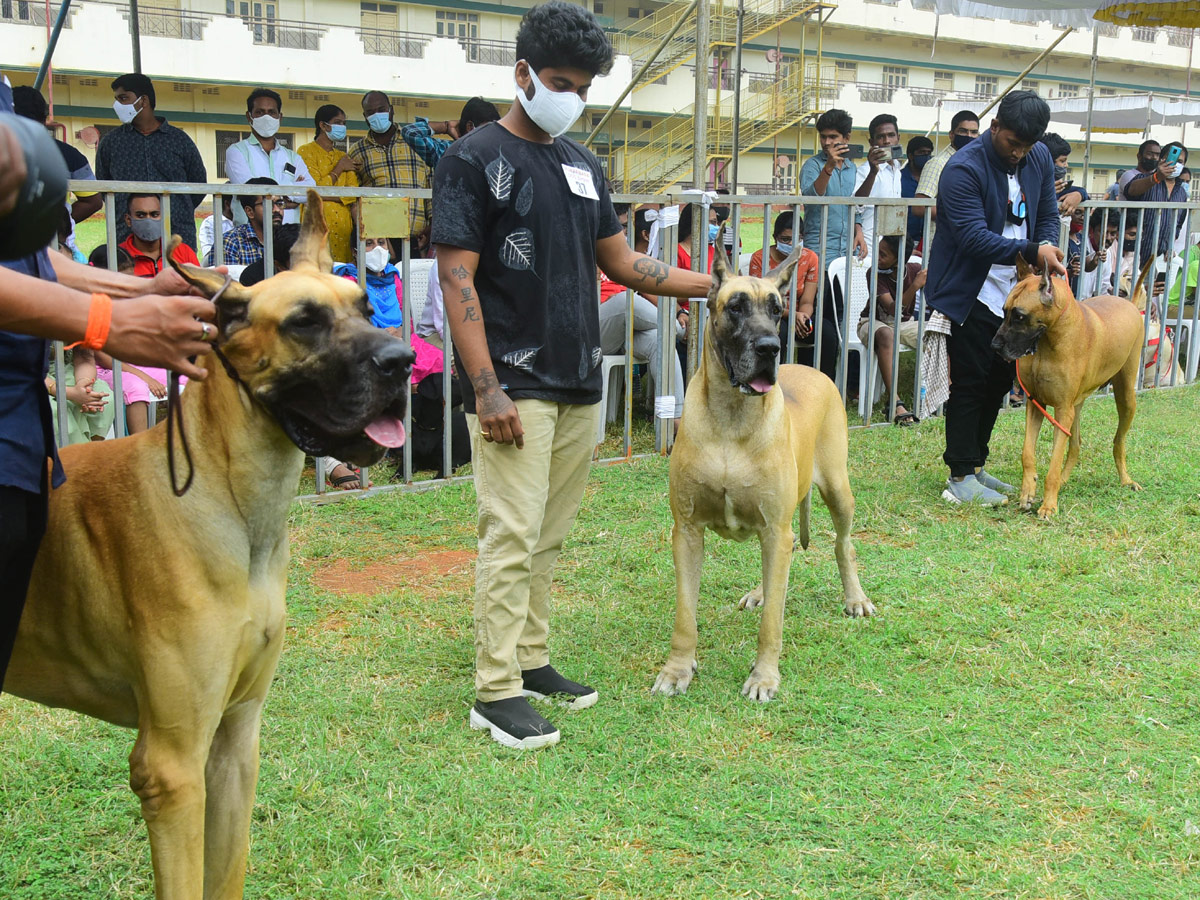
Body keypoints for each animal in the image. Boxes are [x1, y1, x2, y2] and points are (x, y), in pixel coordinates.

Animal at [3, 194, 412, 900]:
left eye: (365, 306)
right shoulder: (170, 769)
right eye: (304, 323)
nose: (404, 360)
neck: (236, 501)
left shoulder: (235, 739)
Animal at [657, 241, 873, 705]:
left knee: (842, 545)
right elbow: (685, 613)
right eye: (735, 306)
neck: (731, 419)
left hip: (836, 490)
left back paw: (855, 598)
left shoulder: (776, 528)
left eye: (777, 309)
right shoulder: (687, 530)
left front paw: (764, 677)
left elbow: (773, 619)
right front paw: (678, 669)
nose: (770, 348)